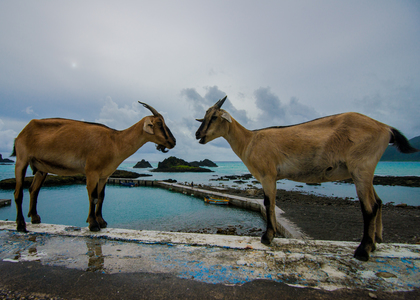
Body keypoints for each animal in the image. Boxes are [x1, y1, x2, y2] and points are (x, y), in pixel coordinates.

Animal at [11, 102, 176, 232]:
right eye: (159, 124)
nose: (173, 142)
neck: (115, 141)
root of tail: (22, 132)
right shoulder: (91, 172)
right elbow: (93, 196)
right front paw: (93, 224)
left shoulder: (104, 175)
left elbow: (101, 197)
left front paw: (102, 221)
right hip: (22, 159)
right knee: (18, 193)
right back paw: (21, 225)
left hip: (41, 168)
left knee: (34, 190)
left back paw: (34, 217)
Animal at [195, 96, 418, 260]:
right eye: (204, 116)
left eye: (214, 117)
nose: (198, 134)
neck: (250, 140)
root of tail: (385, 127)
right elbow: (271, 203)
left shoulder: (268, 175)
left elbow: (269, 203)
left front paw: (267, 237)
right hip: (365, 171)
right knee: (378, 202)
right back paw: (375, 243)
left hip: (361, 166)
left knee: (369, 207)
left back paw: (363, 251)